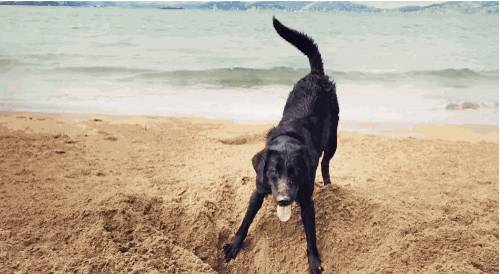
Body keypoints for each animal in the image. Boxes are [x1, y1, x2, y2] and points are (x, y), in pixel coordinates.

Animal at [224, 17, 338, 274]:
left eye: (295, 172)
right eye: (273, 172)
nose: (284, 200)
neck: (289, 139)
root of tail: (316, 74)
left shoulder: (306, 199)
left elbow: (311, 236)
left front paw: (314, 262)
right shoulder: (258, 189)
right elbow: (246, 220)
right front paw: (234, 245)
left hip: (333, 140)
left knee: (326, 163)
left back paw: (328, 185)